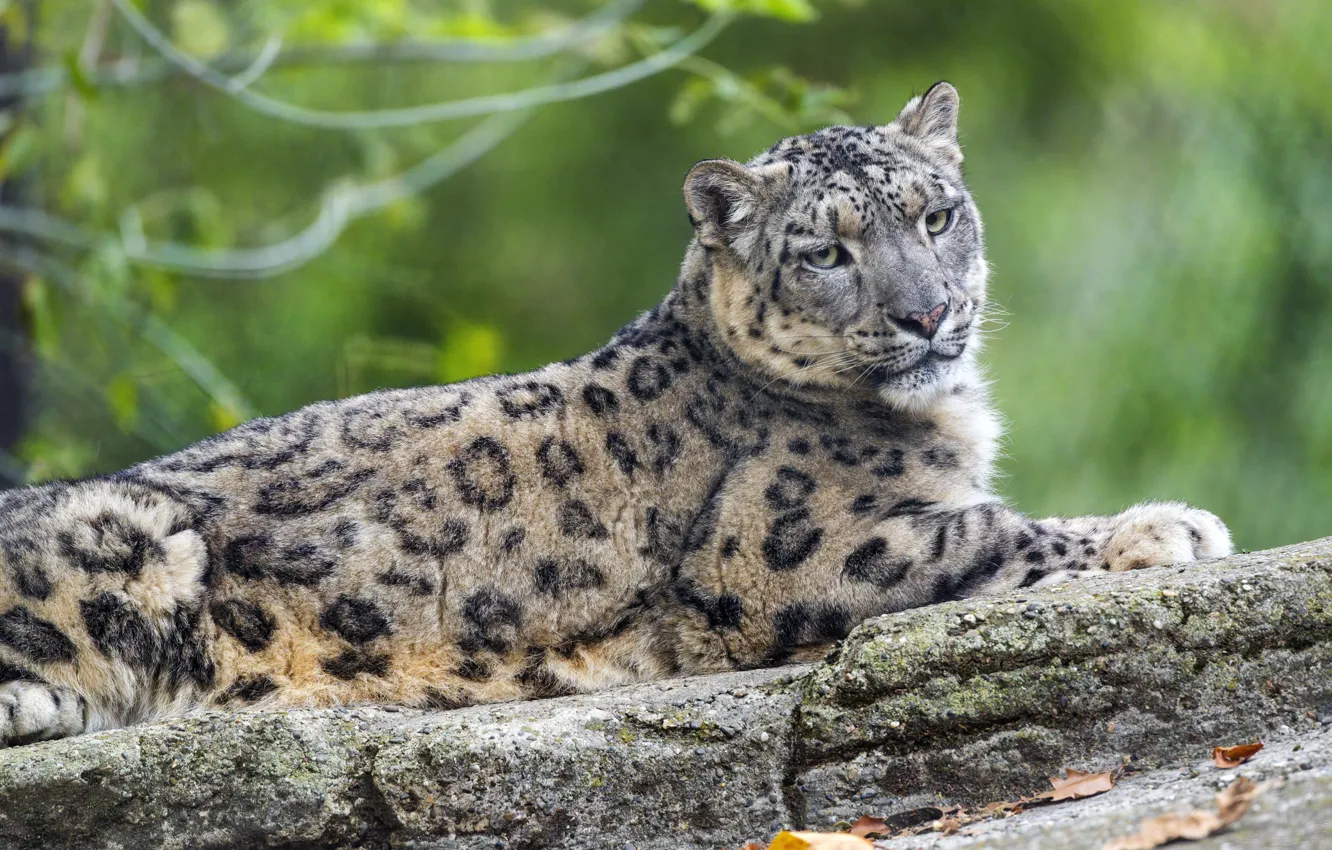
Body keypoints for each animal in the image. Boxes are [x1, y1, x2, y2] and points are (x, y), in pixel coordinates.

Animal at [0, 82, 1230, 747]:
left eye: (937, 214)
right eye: (827, 252)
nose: (929, 313)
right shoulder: (799, 551)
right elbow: (990, 529)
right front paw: (1169, 526)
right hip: (127, 534)